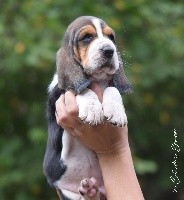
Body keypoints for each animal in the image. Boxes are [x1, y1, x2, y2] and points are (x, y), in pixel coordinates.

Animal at [43, 16, 132, 200]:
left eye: (111, 37)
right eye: (87, 38)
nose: (109, 50)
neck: (97, 78)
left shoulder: (110, 85)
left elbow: (112, 89)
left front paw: (116, 112)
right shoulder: (59, 93)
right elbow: (82, 88)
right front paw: (92, 109)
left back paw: (91, 190)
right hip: (67, 192)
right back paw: (89, 190)